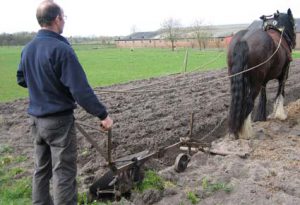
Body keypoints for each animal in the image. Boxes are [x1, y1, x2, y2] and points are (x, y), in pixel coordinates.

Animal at [227, 8, 296, 139]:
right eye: (294, 23)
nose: (294, 43)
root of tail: (244, 39)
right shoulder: (284, 75)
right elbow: (280, 93)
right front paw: (279, 114)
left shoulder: (264, 80)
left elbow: (263, 96)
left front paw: (260, 117)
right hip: (255, 83)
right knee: (248, 103)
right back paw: (245, 132)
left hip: (237, 79)